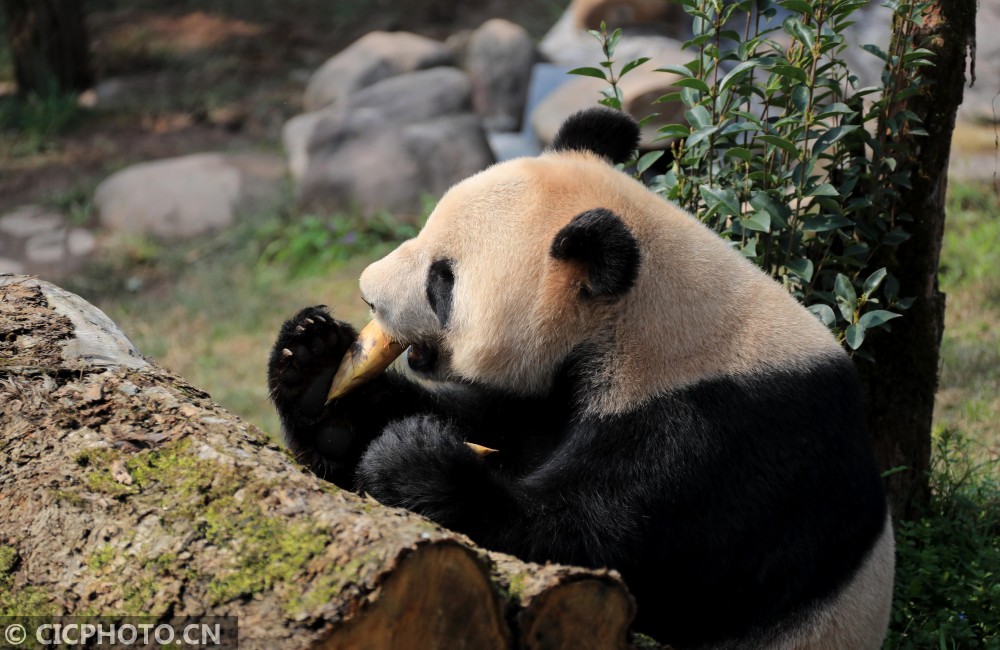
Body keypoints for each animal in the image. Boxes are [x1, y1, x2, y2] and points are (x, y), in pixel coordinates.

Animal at [270, 105, 896, 644]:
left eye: (441, 281)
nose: (368, 293)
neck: (644, 320)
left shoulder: (724, 444)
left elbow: (601, 548)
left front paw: (414, 463)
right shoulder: (548, 394)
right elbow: (490, 418)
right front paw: (315, 368)